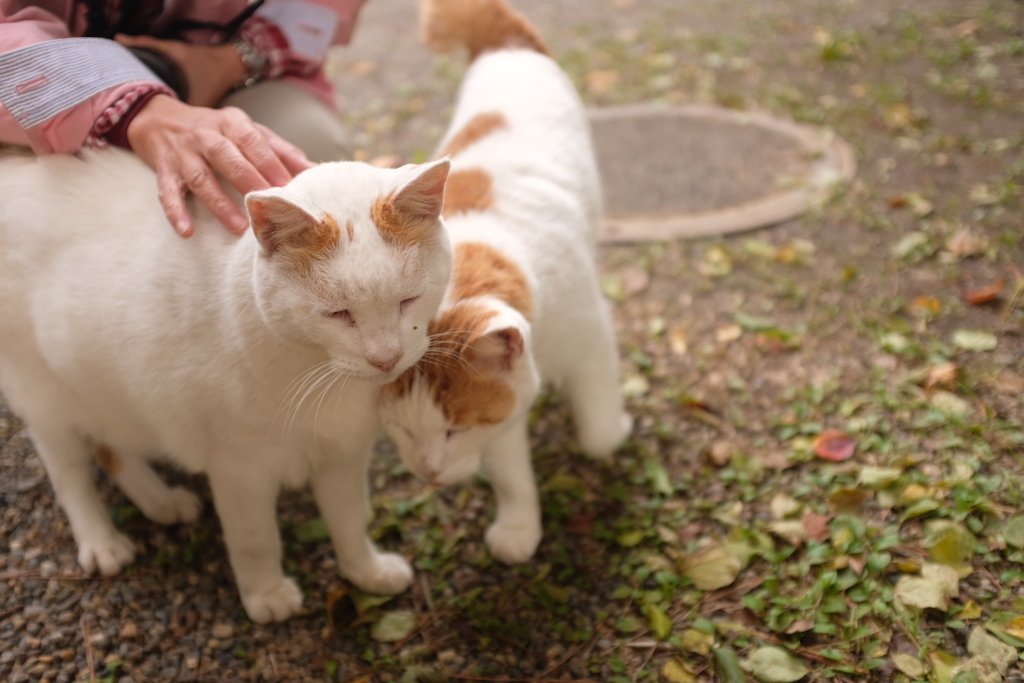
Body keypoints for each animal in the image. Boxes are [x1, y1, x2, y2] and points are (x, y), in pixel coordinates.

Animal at [0, 147, 452, 622]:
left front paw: (366, 572)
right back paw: (101, 541)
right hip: (46, 399)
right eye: (338, 314)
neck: (323, 376)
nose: (386, 358)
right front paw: (266, 595)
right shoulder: (240, 470)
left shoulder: (342, 455)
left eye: (407, 301)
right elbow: (256, 540)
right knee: (69, 474)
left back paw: (162, 502)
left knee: (112, 447)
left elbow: (348, 521)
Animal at [378, 0, 626, 565]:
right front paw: (518, 527)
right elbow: (510, 471)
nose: (428, 472)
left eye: (455, 429)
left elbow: (599, 433)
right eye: (402, 429)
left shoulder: (591, 336)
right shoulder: (506, 407)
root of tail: (501, 42)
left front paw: (614, 428)